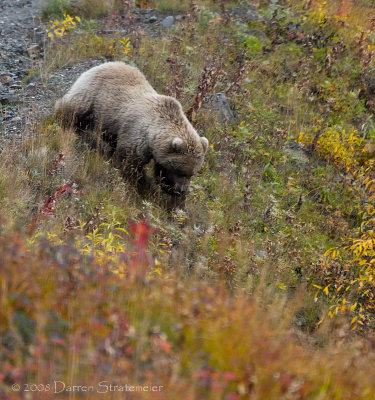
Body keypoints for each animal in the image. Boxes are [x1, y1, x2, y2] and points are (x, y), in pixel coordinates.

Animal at [54, 62, 210, 198]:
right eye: (182, 171)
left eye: (193, 172)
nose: (183, 190)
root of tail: (105, 63)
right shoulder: (137, 135)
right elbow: (129, 162)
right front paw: (137, 183)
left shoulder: (161, 153)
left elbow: (162, 170)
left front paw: (167, 187)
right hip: (93, 94)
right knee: (74, 110)